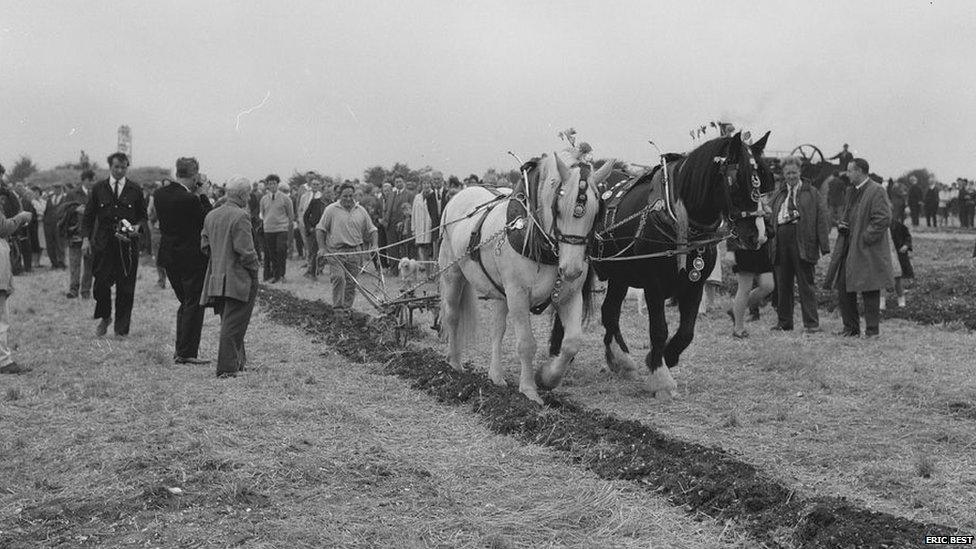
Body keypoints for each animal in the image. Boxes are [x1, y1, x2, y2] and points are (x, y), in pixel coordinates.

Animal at [440, 152, 612, 400]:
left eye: (596, 211)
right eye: (558, 209)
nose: (571, 270)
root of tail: (461, 194)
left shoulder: (570, 296)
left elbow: (572, 342)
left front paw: (547, 377)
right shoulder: (518, 294)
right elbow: (527, 344)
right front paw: (529, 389)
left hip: (500, 292)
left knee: (497, 330)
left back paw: (496, 377)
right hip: (453, 274)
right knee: (452, 315)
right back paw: (454, 364)